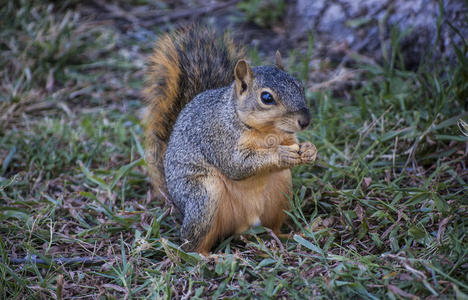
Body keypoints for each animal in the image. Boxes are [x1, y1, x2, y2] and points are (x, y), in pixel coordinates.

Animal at [143, 26, 318, 255]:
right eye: (266, 98)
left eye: (299, 86)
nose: (305, 121)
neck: (265, 131)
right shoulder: (218, 137)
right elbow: (235, 165)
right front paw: (280, 154)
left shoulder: (287, 136)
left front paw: (310, 150)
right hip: (204, 198)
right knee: (190, 244)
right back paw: (208, 257)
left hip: (281, 190)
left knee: (273, 226)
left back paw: (289, 235)